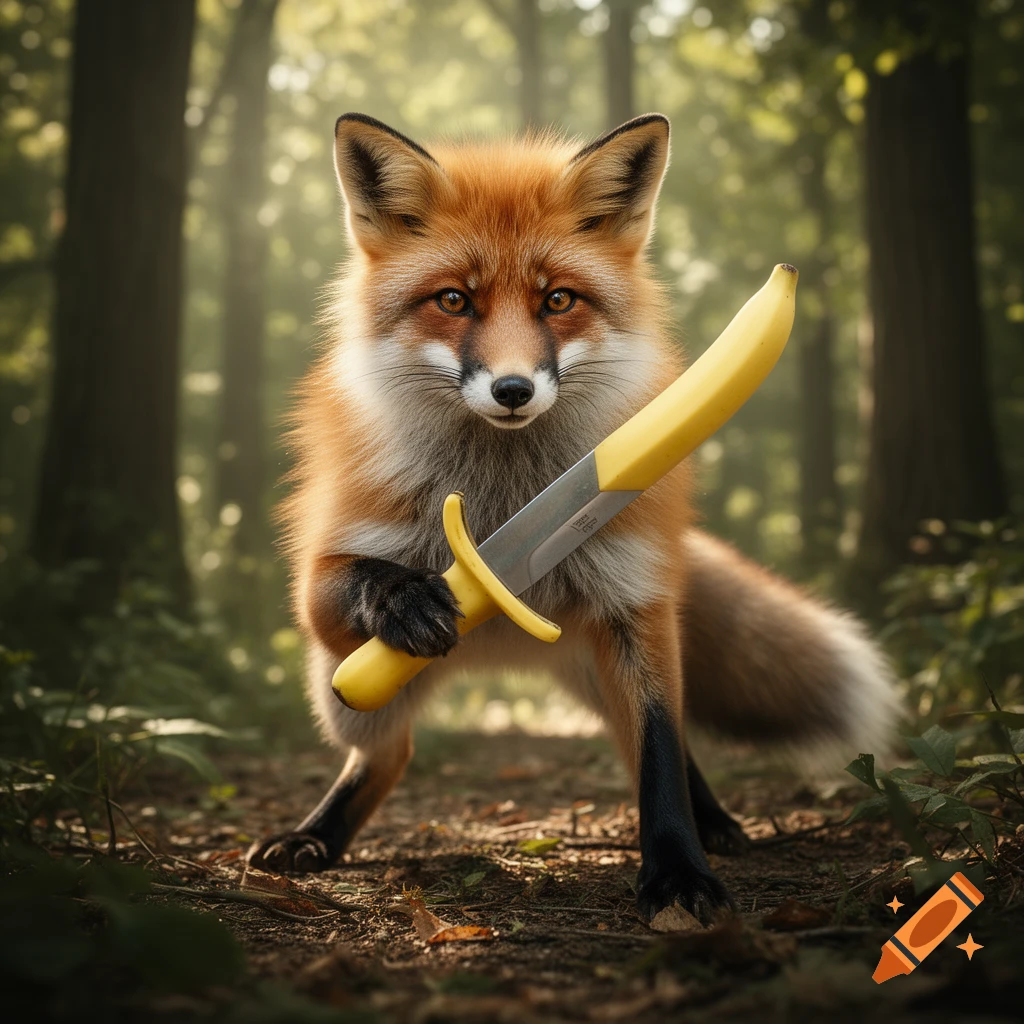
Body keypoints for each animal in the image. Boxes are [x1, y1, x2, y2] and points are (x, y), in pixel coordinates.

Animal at [246, 111, 899, 923]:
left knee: (662, 743)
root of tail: (508, 654)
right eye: (453, 301)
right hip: (347, 688)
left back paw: (713, 821)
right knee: (387, 754)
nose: (513, 389)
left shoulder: (633, 604)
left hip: (615, 658)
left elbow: (659, 753)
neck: (502, 495)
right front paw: (406, 596)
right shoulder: (322, 590)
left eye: (557, 301)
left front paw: (678, 871)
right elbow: (360, 579)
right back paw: (315, 836)